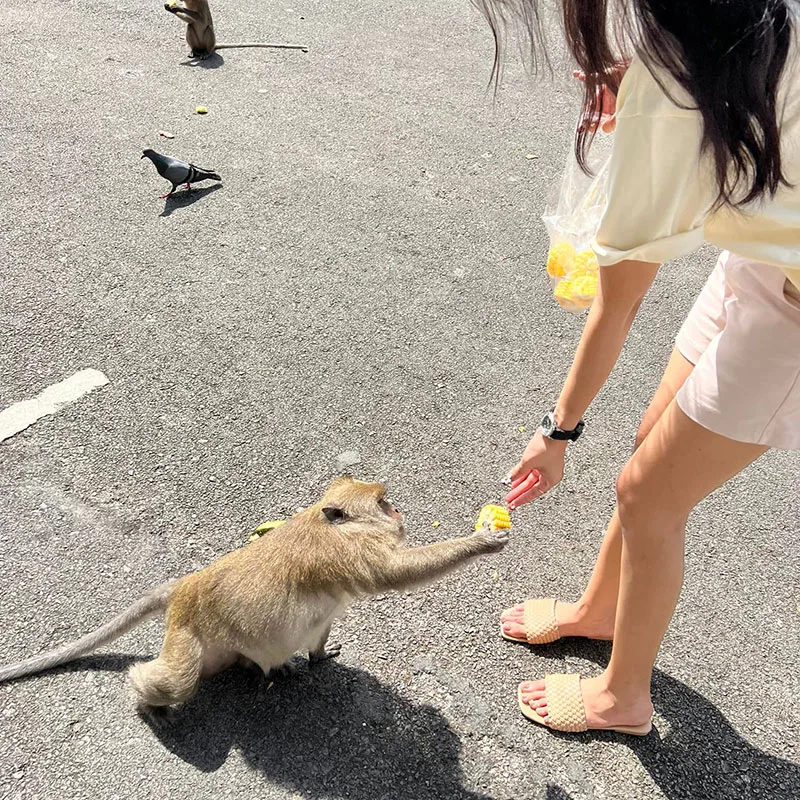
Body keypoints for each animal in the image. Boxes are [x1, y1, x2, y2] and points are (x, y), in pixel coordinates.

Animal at [0, 477, 509, 713]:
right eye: (382, 502)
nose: (399, 509)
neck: (335, 525)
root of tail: (185, 587)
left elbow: (321, 626)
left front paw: (318, 658)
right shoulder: (348, 555)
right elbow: (393, 574)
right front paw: (482, 541)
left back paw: (265, 667)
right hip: (187, 636)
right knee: (176, 681)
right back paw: (148, 700)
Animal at [164, 0, 308, 60]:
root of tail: (212, 46)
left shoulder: (201, 3)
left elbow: (199, 18)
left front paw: (175, 7)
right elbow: (191, 21)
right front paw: (172, 8)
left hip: (208, 41)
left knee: (208, 29)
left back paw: (207, 53)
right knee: (190, 26)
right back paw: (194, 50)